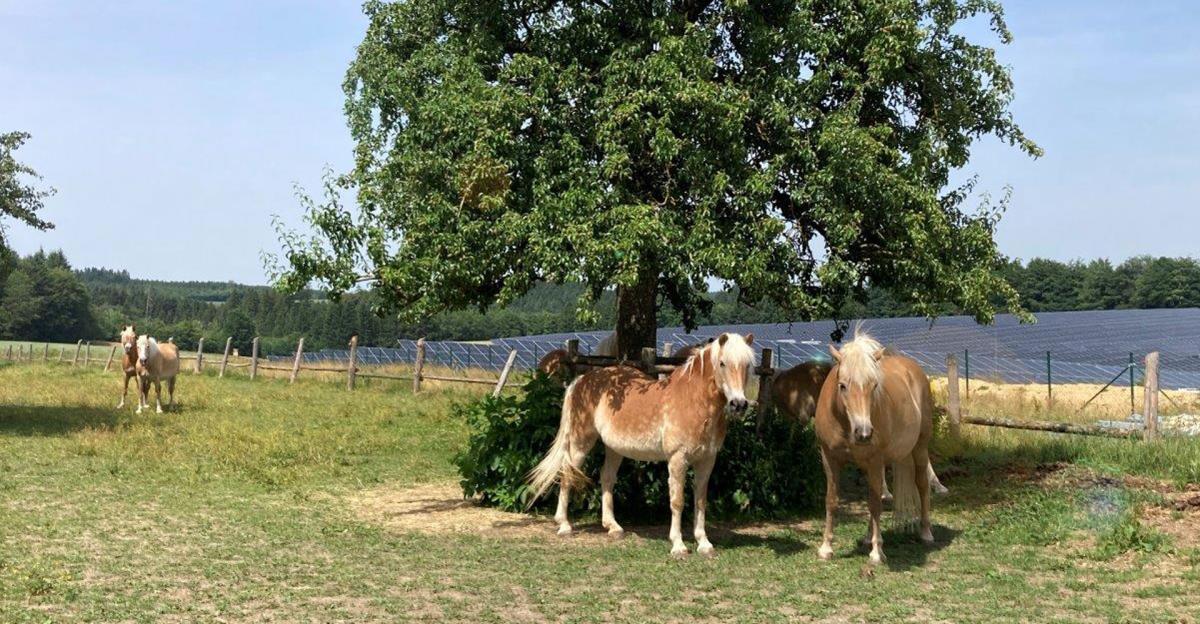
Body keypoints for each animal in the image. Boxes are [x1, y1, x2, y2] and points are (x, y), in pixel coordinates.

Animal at [530, 333, 753, 559]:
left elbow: (700, 501)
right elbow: (677, 501)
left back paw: (613, 527)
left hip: (614, 449)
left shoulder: (707, 460)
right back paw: (564, 526)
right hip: (580, 442)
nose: (739, 404)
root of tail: (581, 380)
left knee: (606, 477)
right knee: (568, 473)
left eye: (748, 365)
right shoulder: (677, 459)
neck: (693, 401)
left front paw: (704, 544)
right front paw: (678, 546)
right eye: (722, 363)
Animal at [816, 331, 936, 566]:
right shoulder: (829, 459)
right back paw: (867, 537)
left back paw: (925, 533)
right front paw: (826, 547)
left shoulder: (874, 460)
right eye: (842, 385)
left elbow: (875, 505)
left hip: (918, 449)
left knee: (922, 485)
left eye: (873, 386)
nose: (863, 433)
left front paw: (877, 552)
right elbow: (832, 501)